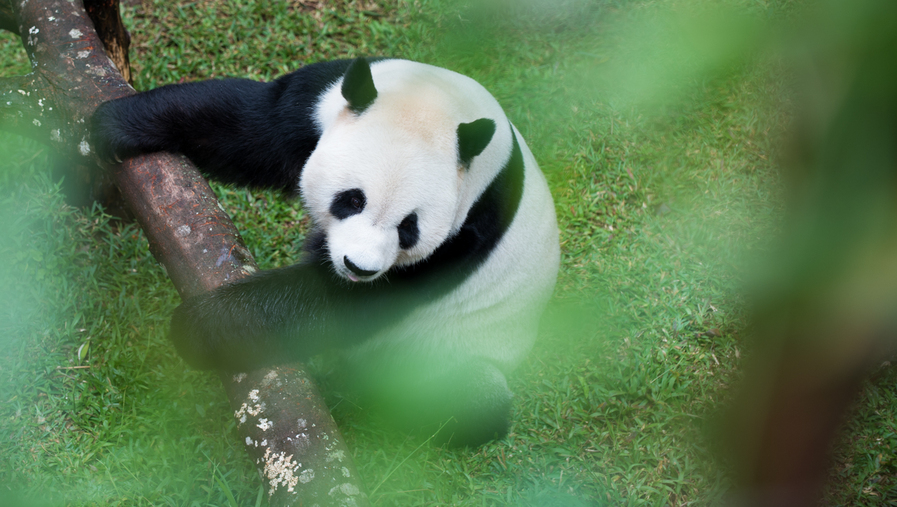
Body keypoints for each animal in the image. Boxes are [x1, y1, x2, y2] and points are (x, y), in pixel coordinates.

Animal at [94, 57, 560, 446]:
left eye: (409, 228)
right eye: (351, 199)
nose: (359, 267)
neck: (437, 102)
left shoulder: (466, 232)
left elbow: (342, 304)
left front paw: (197, 328)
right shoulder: (319, 100)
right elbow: (249, 127)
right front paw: (111, 126)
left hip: (454, 350)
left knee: (466, 399)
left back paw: (349, 397)